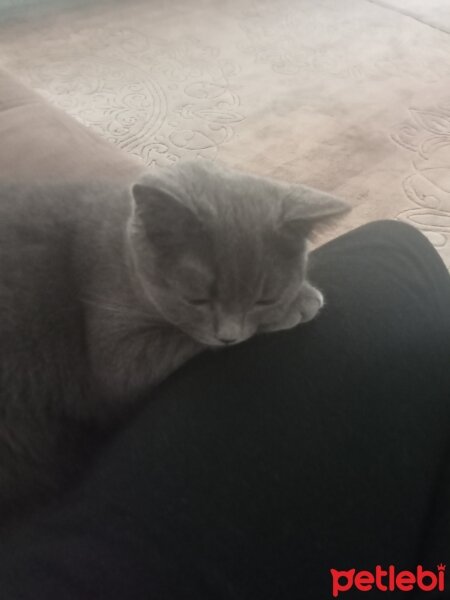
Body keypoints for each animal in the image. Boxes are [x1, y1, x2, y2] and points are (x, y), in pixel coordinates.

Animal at [0, 159, 348, 516]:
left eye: (264, 299)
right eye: (197, 298)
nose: (229, 337)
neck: (123, 253)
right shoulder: (115, 345)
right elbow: (176, 340)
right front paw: (301, 302)